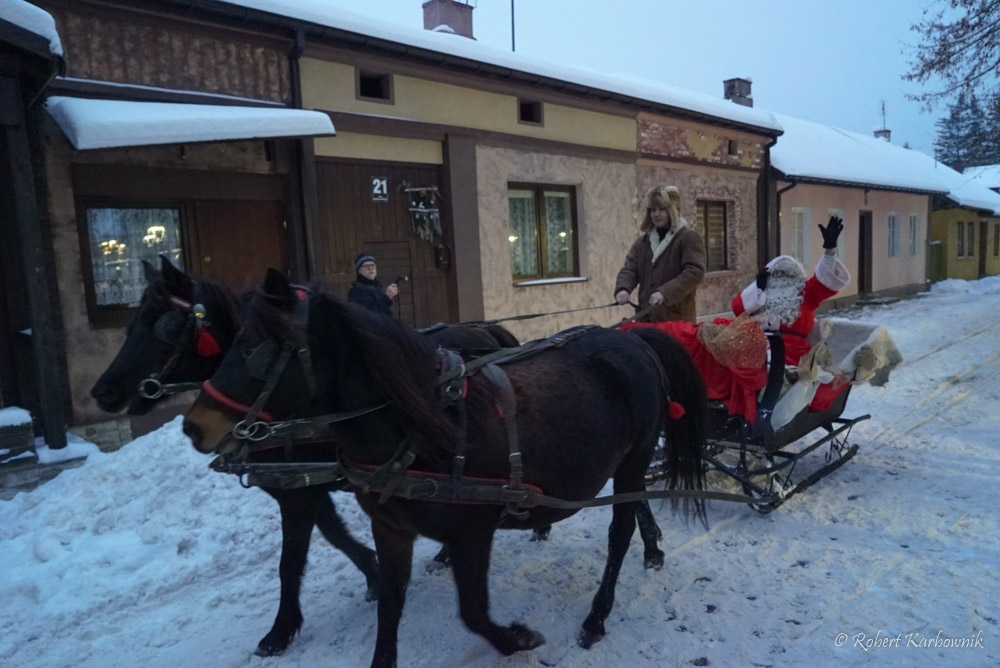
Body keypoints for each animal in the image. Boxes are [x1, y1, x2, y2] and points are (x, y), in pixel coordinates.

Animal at [182, 269, 707, 666]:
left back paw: (598, 614)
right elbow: (389, 603)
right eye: (231, 340)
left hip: (635, 458)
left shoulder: (471, 532)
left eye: (256, 348)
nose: (193, 425)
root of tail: (632, 340)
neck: (420, 430)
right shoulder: (388, 527)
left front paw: (517, 638)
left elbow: (472, 611)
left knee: (620, 531)